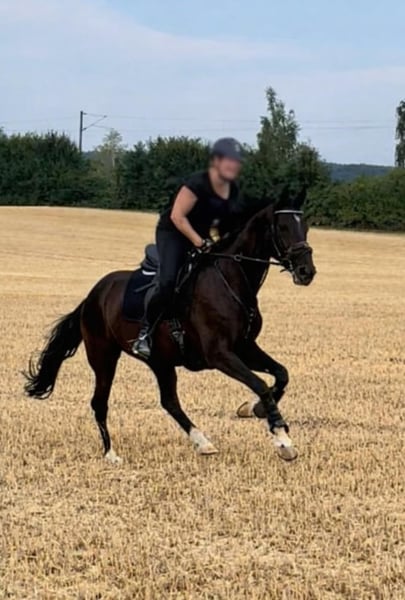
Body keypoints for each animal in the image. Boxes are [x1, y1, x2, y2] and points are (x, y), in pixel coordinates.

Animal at [24, 190, 316, 462]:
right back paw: (111, 453)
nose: (307, 272)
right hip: (104, 356)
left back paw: (202, 442)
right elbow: (261, 384)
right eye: (283, 227)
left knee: (169, 402)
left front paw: (253, 409)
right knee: (100, 402)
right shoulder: (220, 354)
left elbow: (281, 374)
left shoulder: (245, 347)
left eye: (305, 226)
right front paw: (282, 440)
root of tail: (91, 296)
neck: (231, 281)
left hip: (160, 361)